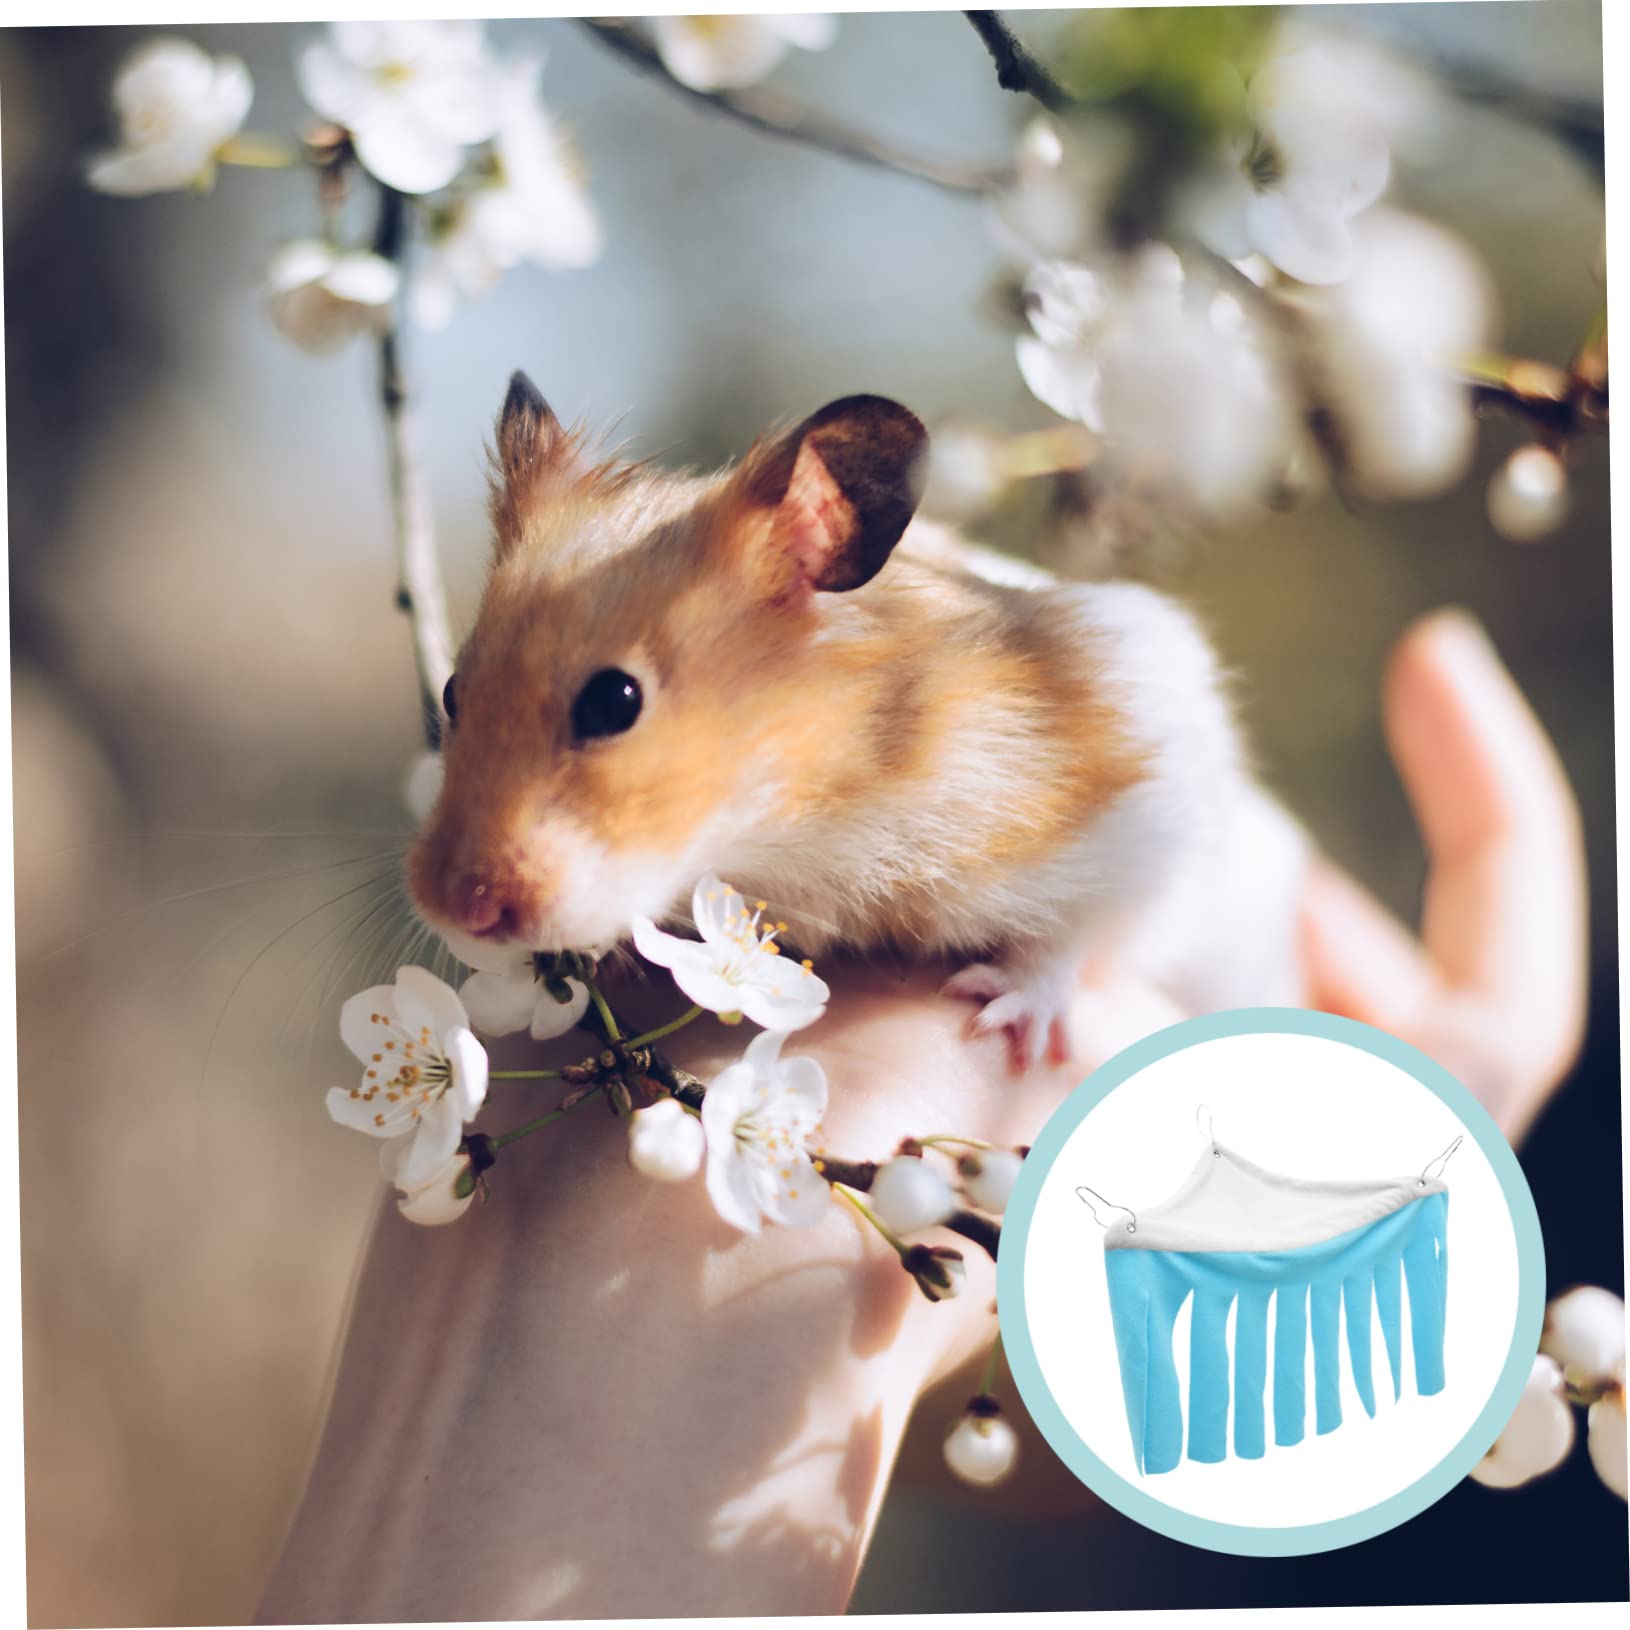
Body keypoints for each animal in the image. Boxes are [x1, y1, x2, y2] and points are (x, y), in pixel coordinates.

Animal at [407, 372, 1307, 1069]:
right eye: (451, 693)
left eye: (613, 701)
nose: (453, 908)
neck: (805, 815)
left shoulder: (1148, 790)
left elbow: (1079, 933)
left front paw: (1001, 1018)